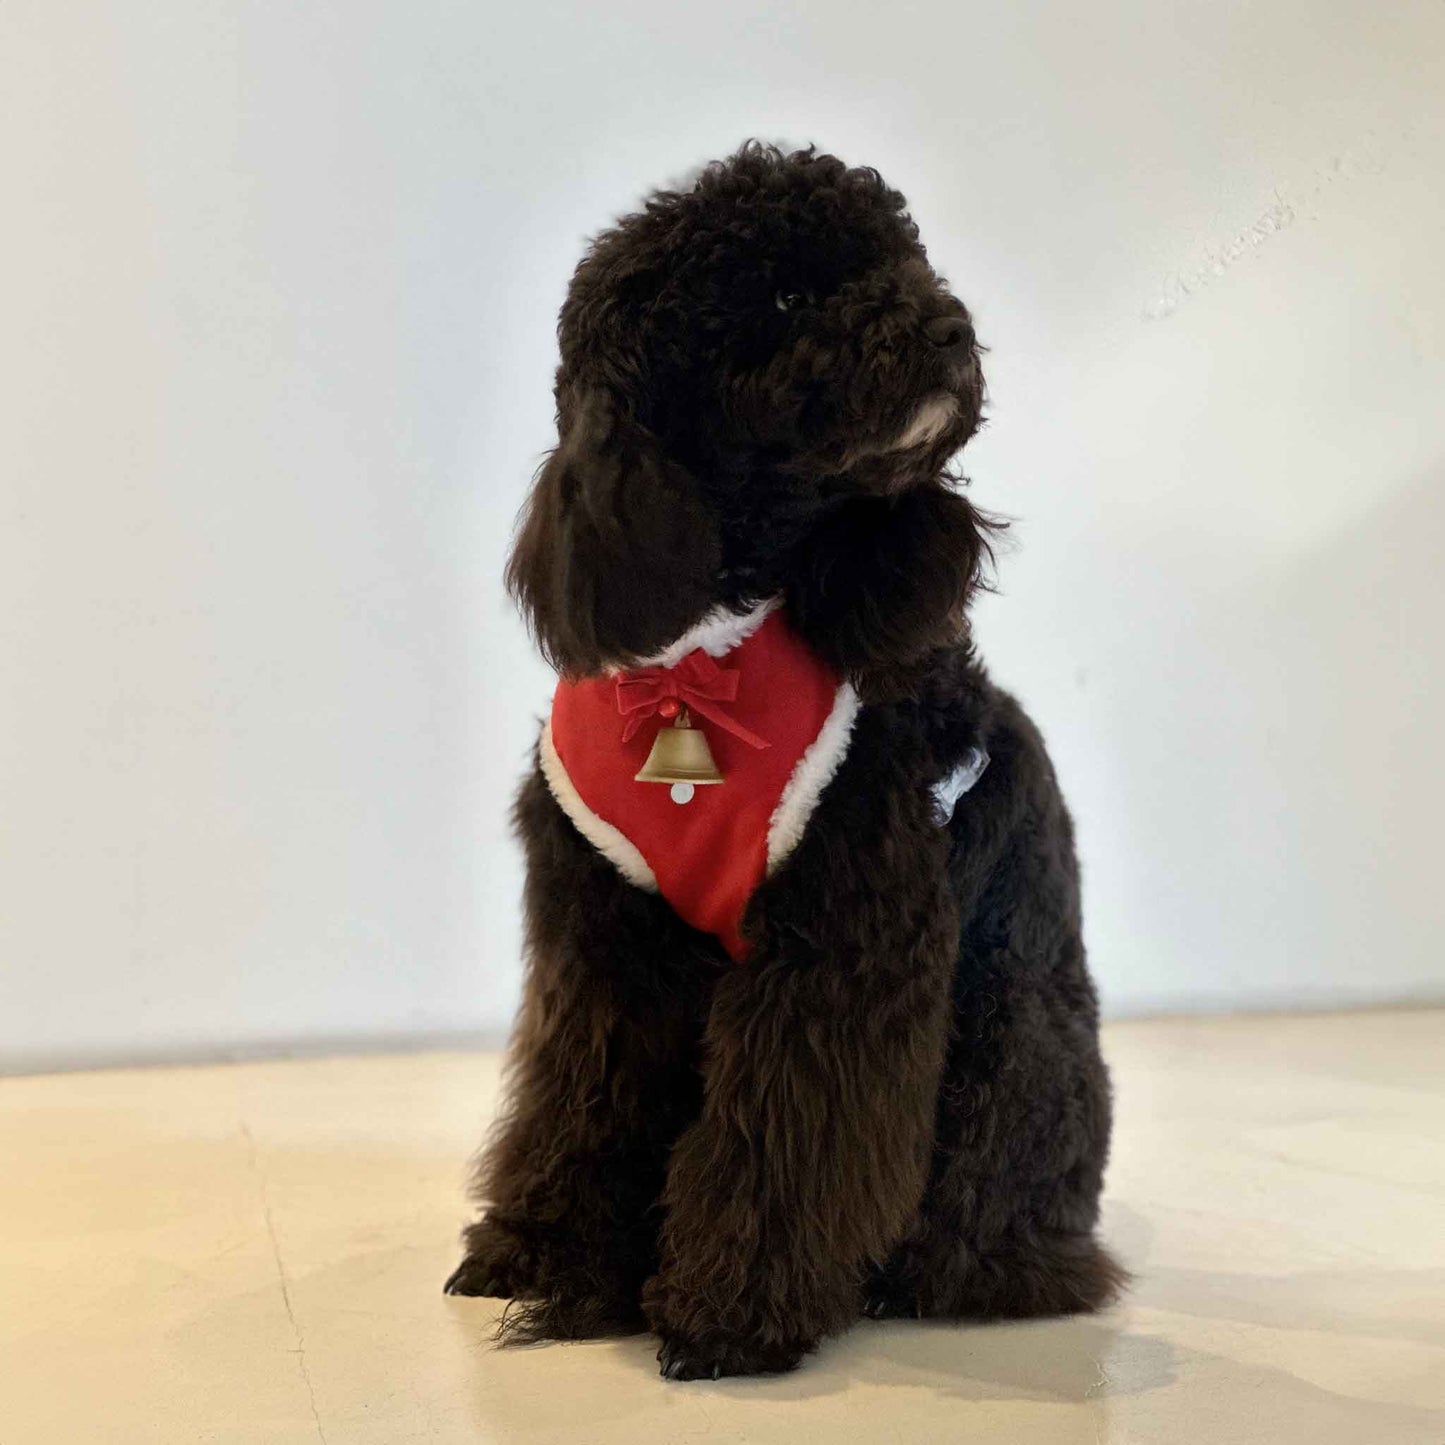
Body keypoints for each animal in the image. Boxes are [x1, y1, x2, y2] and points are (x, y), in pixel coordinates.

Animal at [445, 143, 1121, 1375]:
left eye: (905, 260)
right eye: (784, 297)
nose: (950, 326)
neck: (701, 659)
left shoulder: (840, 942)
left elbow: (782, 1135)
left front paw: (722, 1312)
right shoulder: (604, 942)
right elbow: (580, 1106)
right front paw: (552, 1260)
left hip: (1012, 1048)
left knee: (988, 1211)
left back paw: (944, 1274)